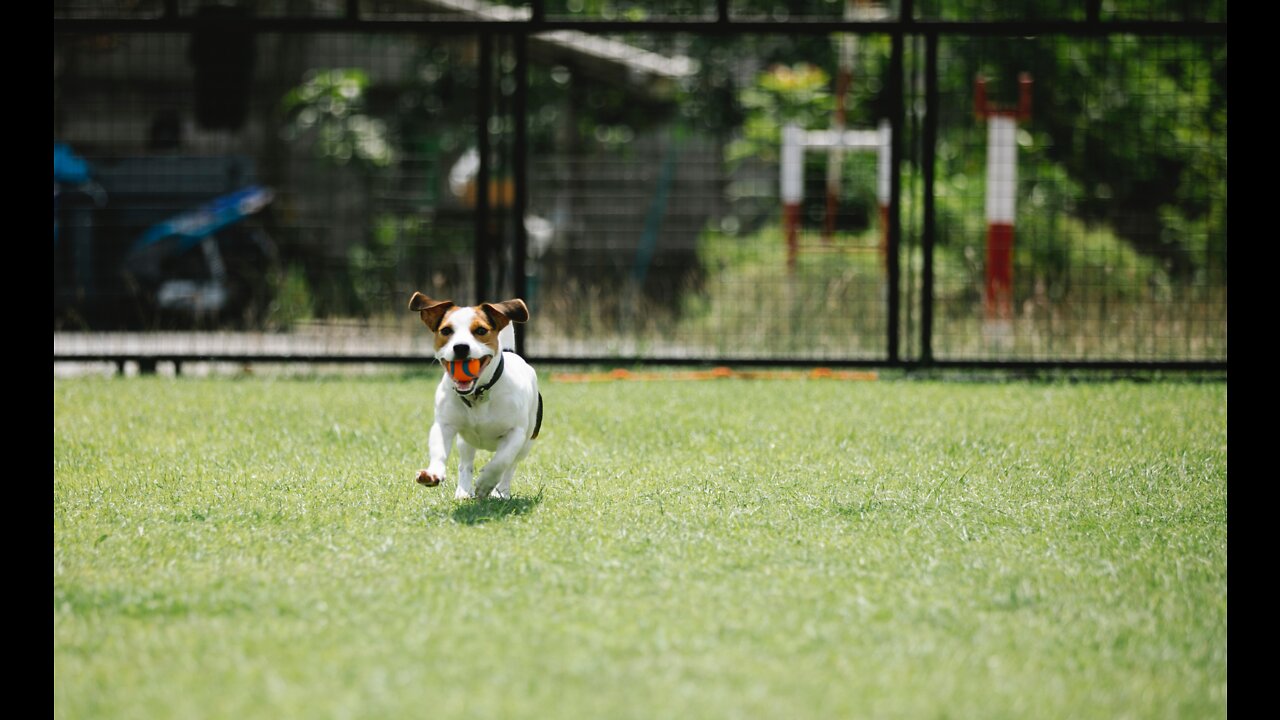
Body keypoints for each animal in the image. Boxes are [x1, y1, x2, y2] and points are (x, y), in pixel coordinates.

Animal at [409, 288, 540, 497]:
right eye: (446, 331)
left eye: (481, 331)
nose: (461, 347)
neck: (477, 394)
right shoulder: (444, 425)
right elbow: (439, 451)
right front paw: (433, 473)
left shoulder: (516, 433)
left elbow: (501, 461)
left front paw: (486, 482)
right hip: (466, 441)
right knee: (466, 463)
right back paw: (463, 490)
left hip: (527, 442)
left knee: (510, 467)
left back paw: (501, 492)